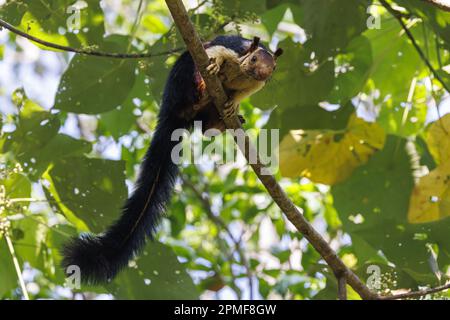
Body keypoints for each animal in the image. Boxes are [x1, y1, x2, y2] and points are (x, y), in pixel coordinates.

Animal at [61, 36, 284, 284]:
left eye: (273, 68)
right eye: (253, 59)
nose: (262, 73)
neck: (243, 73)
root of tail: (173, 113)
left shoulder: (254, 85)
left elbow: (241, 94)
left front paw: (233, 105)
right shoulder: (234, 51)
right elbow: (216, 52)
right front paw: (215, 65)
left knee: (206, 128)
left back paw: (220, 123)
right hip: (184, 83)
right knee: (196, 86)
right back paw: (204, 89)